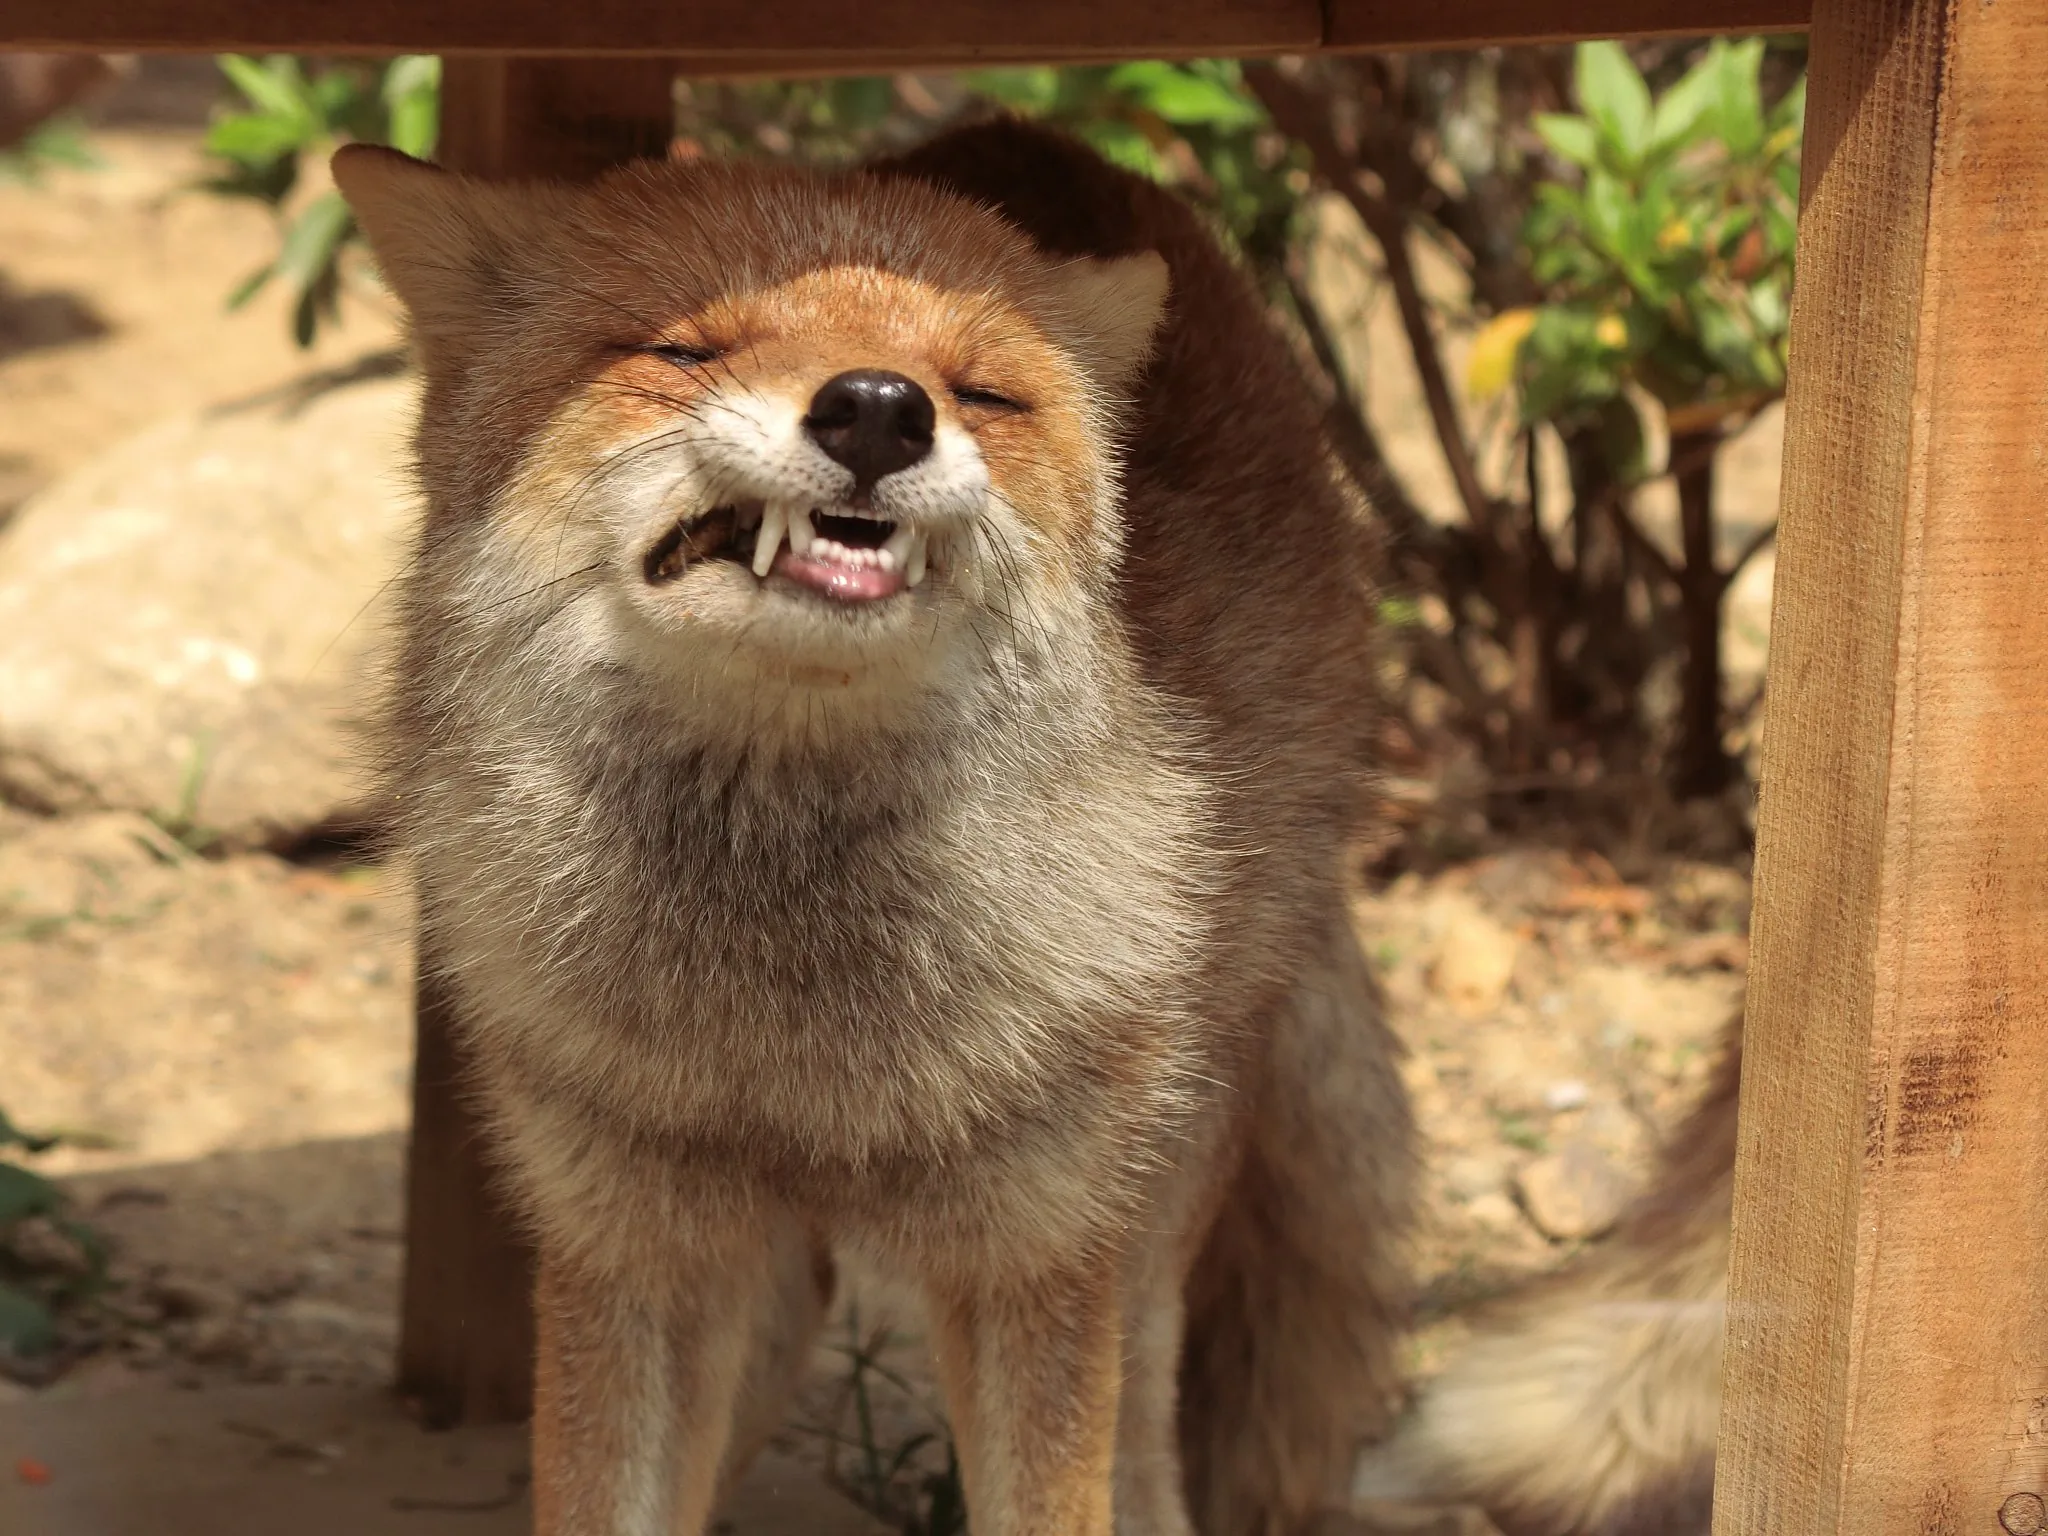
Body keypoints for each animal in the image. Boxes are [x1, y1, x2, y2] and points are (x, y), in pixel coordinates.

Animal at [332, 117, 1415, 1536]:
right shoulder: (630, 1237)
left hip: (1153, 1190)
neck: (799, 1039)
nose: (879, 408)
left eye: (983, 393)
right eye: (686, 348)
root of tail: (1035, 135)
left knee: (1144, 1423)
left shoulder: (1040, 1252)